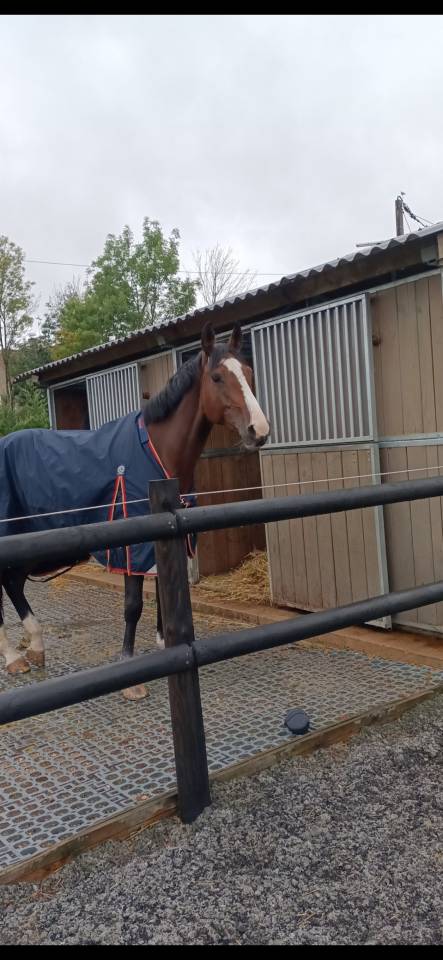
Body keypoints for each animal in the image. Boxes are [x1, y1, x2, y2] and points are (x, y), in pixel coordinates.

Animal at [0, 321, 270, 700]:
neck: (156, 451)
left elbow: (163, 593)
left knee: (13, 583)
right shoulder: (131, 546)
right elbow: (133, 605)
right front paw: (131, 674)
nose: (258, 430)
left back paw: (35, 648)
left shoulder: (165, 538)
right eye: (217, 377)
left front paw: (165, 646)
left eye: (247, 373)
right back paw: (13, 658)